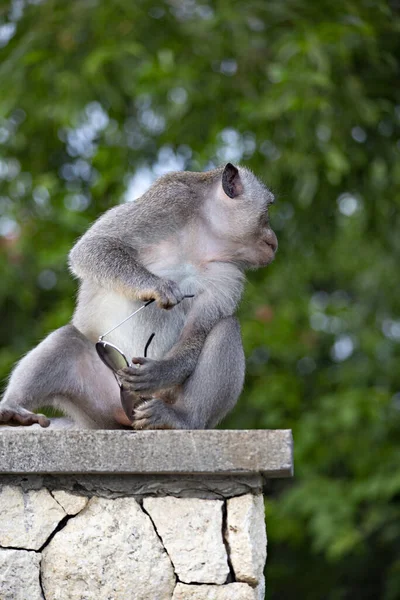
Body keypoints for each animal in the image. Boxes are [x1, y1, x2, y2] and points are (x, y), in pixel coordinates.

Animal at [0, 162, 276, 428]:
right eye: (268, 210)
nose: (273, 239)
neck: (204, 238)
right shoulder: (167, 201)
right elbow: (94, 247)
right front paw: (157, 286)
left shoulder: (229, 275)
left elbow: (197, 331)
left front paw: (162, 371)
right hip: (99, 399)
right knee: (67, 340)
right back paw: (14, 410)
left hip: (159, 396)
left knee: (225, 328)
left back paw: (181, 418)